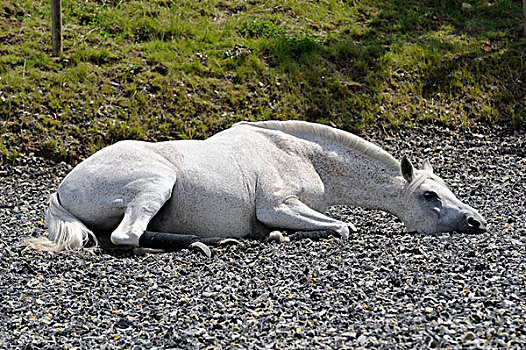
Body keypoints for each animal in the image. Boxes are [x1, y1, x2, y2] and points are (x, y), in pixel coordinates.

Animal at [24, 120, 486, 254]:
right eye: (429, 196)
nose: (475, 222)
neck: (302, 154)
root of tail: (63, 188)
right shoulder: (278, 205)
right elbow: (343, 227)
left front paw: (276, 236)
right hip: (157, 183)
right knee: (126, 237)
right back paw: (203, 244)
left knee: (114, 236)